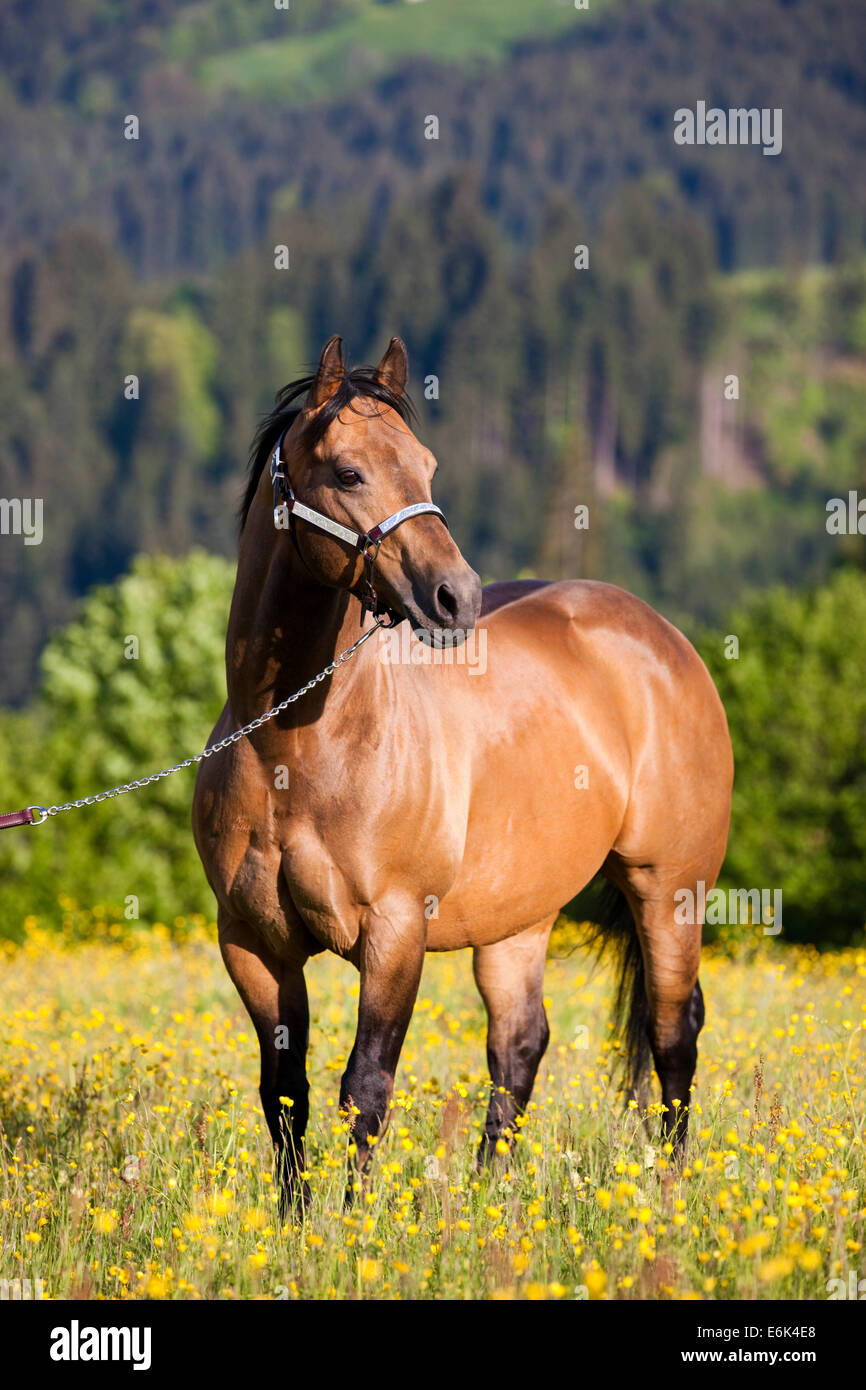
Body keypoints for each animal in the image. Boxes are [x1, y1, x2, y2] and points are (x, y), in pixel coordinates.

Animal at [192, 334, 733, 1206]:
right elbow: (285, 1093)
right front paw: (293, 1219)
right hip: (519, 916)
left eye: (427, 465)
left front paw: (352, 1223)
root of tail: (663, 639)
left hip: (669, 888)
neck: (290, 750)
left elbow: (365, 1086)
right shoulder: (252, 943)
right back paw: (488, 1199)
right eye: (348, 472)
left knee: (671, 1033)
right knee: (519, 1044)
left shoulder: (394, 933)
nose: (457, 597)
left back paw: (670, 1191)